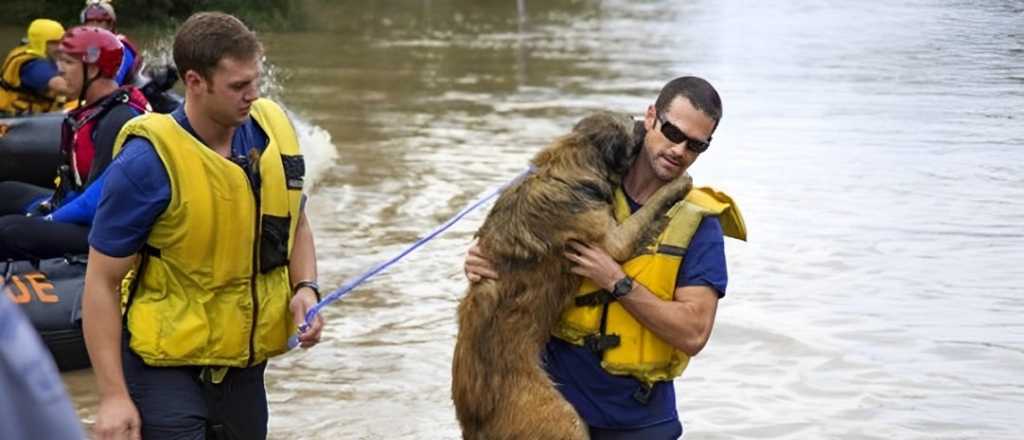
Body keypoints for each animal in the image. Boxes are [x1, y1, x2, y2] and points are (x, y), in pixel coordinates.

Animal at [452, 111, 692, 437]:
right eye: (630, 123)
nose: (644, 119)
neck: (571, 163)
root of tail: (473, 419)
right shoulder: (613, 240)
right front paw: (678, 184)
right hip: (563, 420)